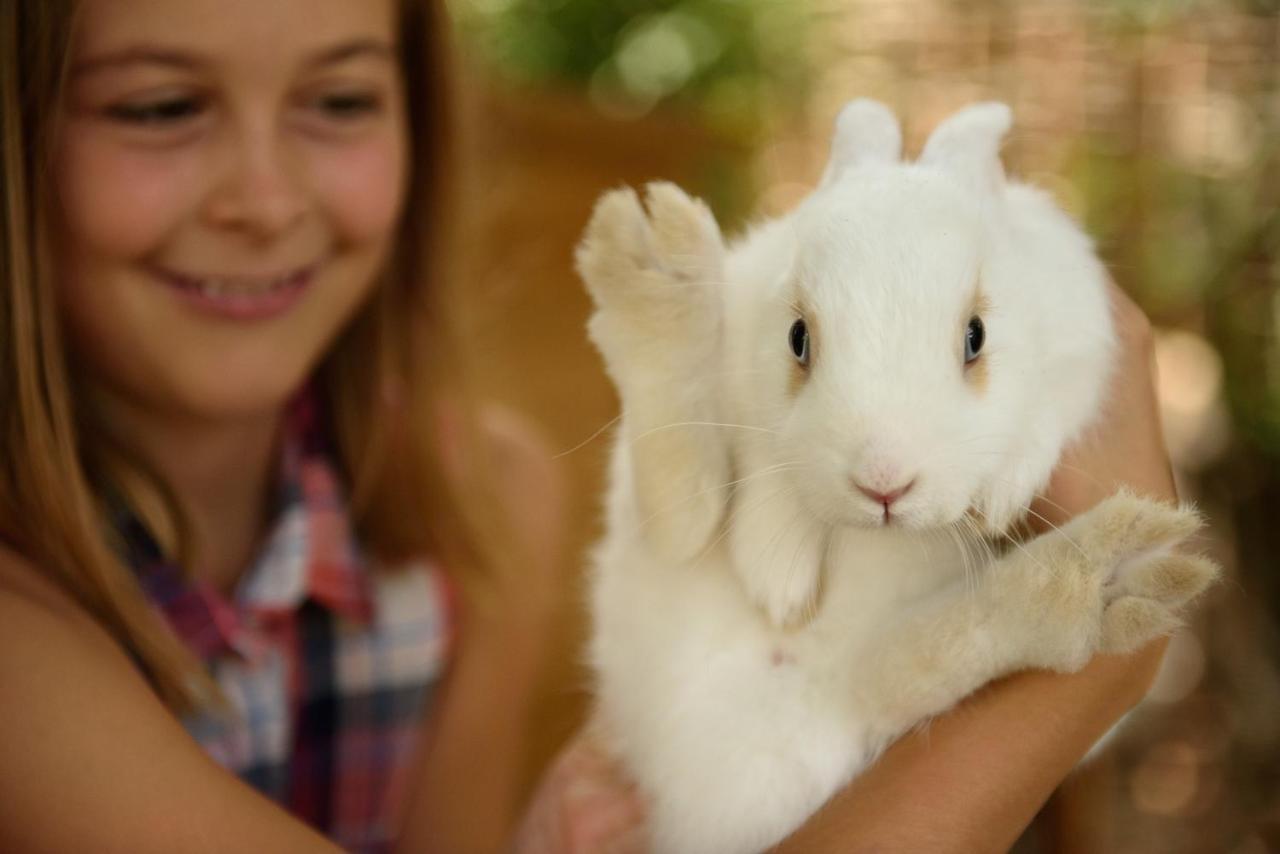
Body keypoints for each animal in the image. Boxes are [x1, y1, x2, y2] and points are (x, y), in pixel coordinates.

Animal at [576, 101, 1213, 854]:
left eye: (975, 336)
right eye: (798, 338)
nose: (883, 485)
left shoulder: (1083, 354)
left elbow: (1043, 417)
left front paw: (1003, 494)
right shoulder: (751, 385)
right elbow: (766, 464)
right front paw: (779, 577)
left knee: (893, 674)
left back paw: (1093, 582)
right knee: (686, 522)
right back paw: (653, 275)